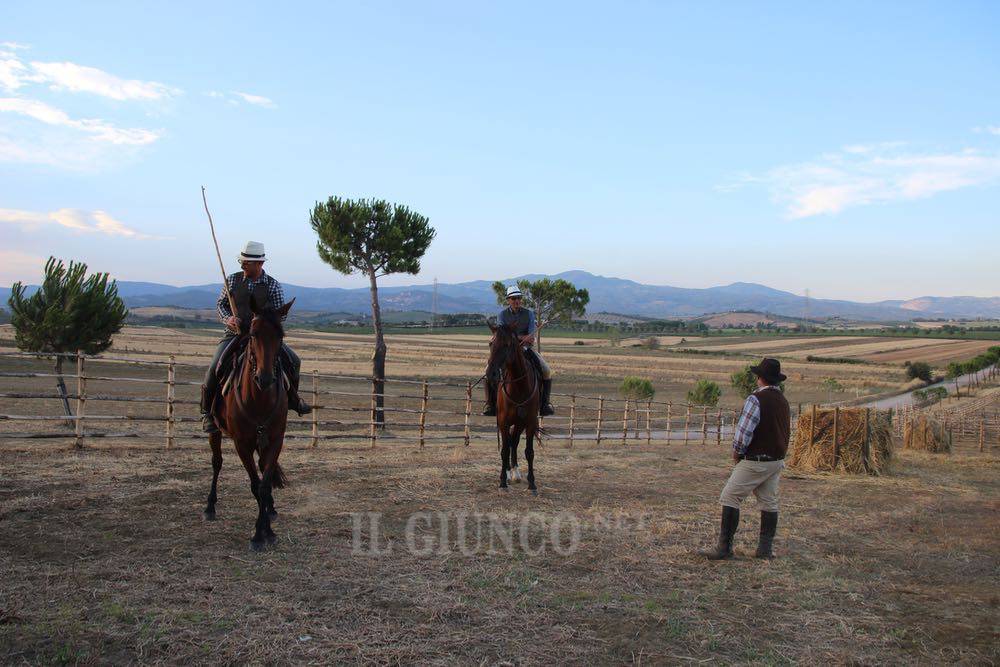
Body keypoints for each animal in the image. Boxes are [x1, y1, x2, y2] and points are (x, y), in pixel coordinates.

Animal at [203, 300, 292, 552]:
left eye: (280, 335)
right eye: (253, 334)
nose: (265, 378)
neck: (258, 398)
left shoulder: (275, 440)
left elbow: (264, 485)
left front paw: (267, 531)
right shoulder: (242, 444)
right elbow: (255, 485)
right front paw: (258, 535)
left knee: (263, 471)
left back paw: (271, 509)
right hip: (216, 432)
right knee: (217, 463)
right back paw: (210, 506)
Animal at [484, 324, 540, 496]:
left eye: (508, 345)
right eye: (491, 343)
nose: (491, 373)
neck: (519, 386)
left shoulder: (530, 422)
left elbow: (529, 452)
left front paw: (532, 484)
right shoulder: (503, 422)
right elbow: (504, 451)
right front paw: (502, 482)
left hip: (520, 423)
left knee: (513, 442)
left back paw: (515, 472)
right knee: (509, 443)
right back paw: (510, 474)